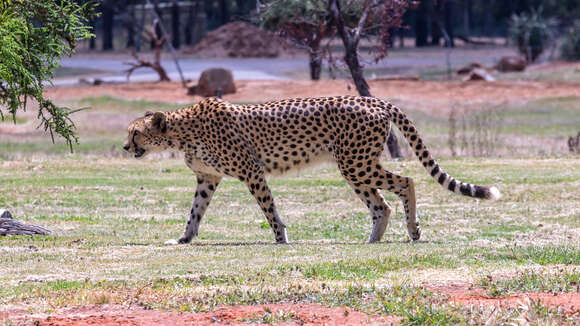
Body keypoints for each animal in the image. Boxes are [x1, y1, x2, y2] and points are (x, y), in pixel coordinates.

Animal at [124, 95, 500, 243]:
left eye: (135, 132)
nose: (125, 147)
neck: (181, 132)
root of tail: (370, 98)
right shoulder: (208, 178)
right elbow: (195, 211)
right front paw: (184, 238)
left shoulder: (252, 172)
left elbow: (269, 208)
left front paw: (281, 238)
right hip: (355, 166)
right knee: (381, 204)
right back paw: (372, 240)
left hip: (355, 163)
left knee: (405, 181)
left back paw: (413, 231)